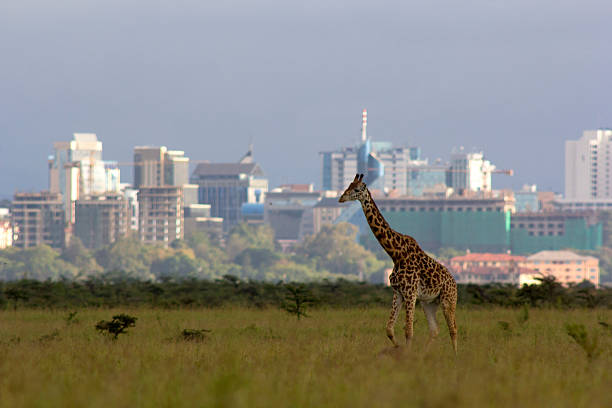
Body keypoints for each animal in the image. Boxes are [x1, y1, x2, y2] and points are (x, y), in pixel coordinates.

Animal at [338, 174, 456, 352]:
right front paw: (399, 348)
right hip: (429, 303)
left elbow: (408, 330)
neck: (396, 254)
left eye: (356, 189)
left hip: (448, 300)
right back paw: (424, 354)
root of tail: (455, 283)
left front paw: (406, 354)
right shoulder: (398, 293)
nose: (341, 198)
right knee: (435, 330)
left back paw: (456, 355)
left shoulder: (410, 293)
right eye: (348, 185)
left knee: (453, 329)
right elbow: (389, 329)